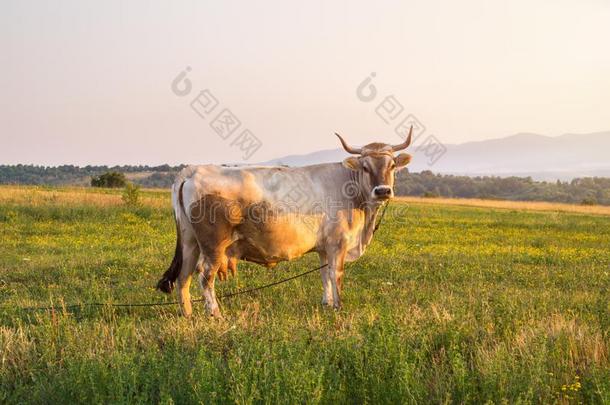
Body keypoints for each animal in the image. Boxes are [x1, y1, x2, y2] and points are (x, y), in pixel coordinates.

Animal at [157, 128, 414, 318]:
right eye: (365, 167)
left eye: (392, 166)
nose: (382, 191)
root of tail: (195, 169)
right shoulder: (338, 245)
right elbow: (336, 275)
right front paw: (338, 308)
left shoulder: (324, 248)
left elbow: (324, 275)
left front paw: (327, 304)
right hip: (213, 245)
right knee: (204, 275)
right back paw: (216, 314)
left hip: (190, 242)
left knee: (184, 276)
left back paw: (188, 314)